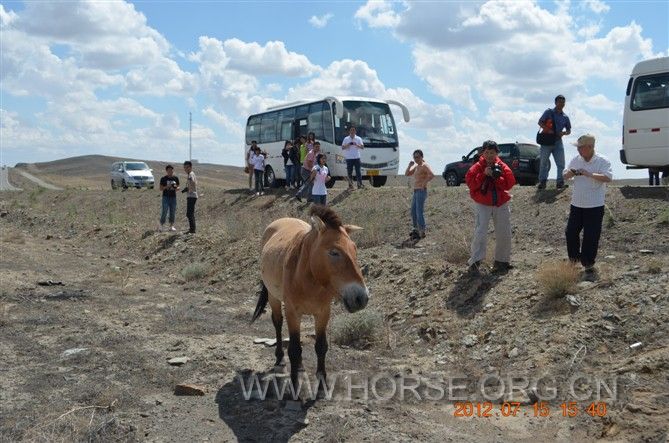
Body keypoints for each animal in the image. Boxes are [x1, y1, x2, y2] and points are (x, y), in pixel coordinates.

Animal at [250, 205, 368, 392]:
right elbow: (294, 349)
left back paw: (299, 367)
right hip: (273, 297)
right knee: (277, 323)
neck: (308, 278)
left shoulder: (323, 313)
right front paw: (294, 386)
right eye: (334, 252)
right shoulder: (293, 313)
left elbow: (321, 347)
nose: (361, 298)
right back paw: (280, 359)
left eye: (355, 249)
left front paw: (322, 384)